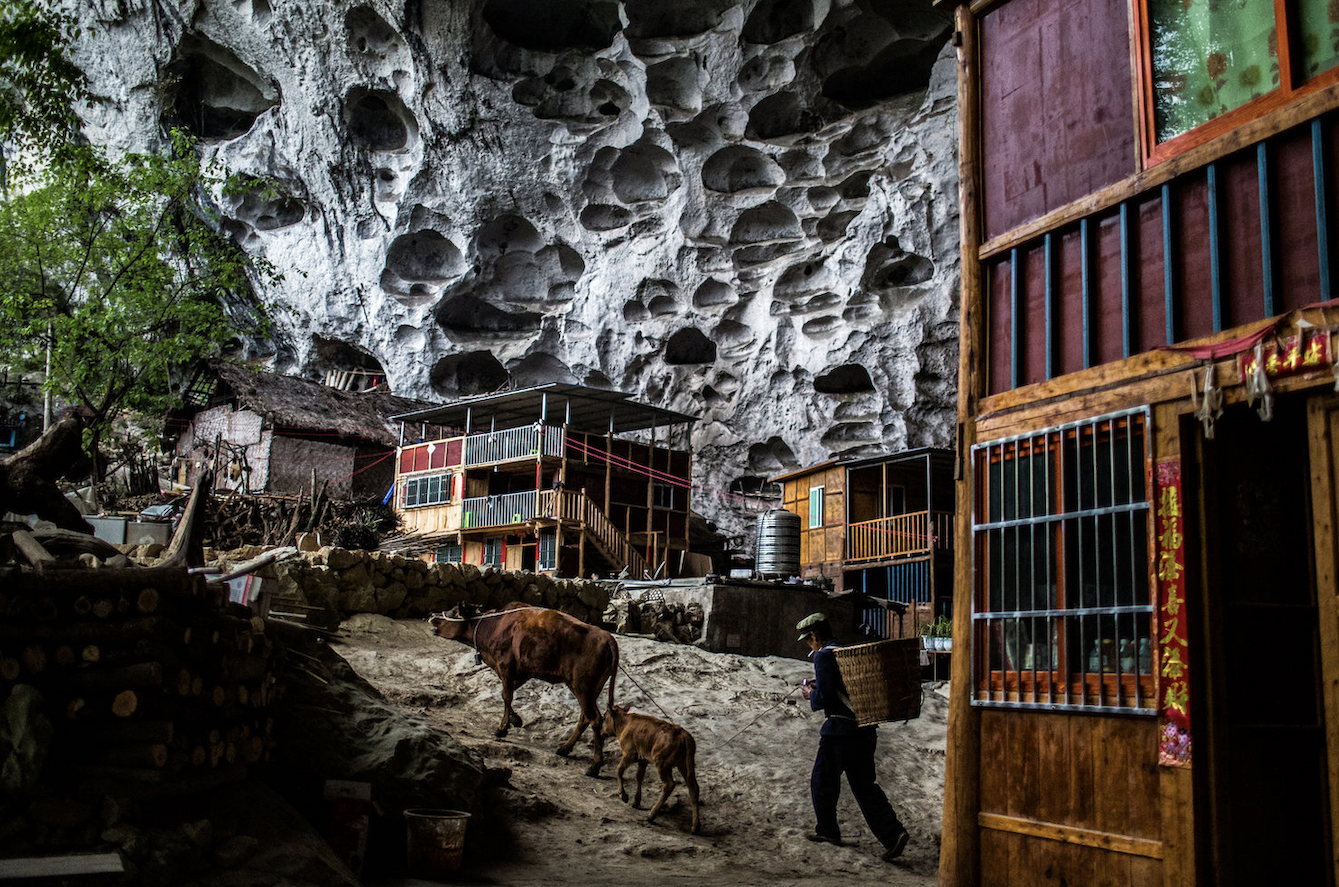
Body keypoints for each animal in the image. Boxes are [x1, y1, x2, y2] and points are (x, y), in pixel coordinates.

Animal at [428, 605, 615, 777]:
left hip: (582, 687)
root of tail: (607, 637)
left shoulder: (505, 665)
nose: (432, 615)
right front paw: (515, 719)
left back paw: (594, 766)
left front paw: (502, 728)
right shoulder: (523, 671)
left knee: (595, 719)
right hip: (589, 690)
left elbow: (506, 695)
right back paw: (565, 748)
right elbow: (507, 694)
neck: (493, 625)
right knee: (585, 717)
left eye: (453, 611)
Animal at [599, 707, 701, 836]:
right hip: (685, 765)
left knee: (669, 784)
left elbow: (618, 770)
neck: (625, 722)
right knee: (693, 788)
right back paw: (695, 827)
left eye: (604, 716)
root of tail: (684, 735)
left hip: (662, 764)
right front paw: (636, 801)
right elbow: (639, 777)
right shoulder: (643, 760)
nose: (601, 732)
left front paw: (624, 795)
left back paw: (651, 816)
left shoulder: (629, 754)